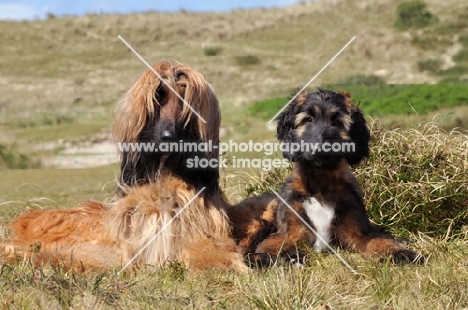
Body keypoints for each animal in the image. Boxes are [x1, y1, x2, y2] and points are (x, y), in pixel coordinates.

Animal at [229, 88, 422, 266]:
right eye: (308, 119)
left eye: (336, 122)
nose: (318, 150)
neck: (319, 182)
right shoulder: (289, 232)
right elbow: (269, 246)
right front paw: (287, 257)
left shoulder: (357, 231)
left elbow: (378, 240)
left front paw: (400, 252)